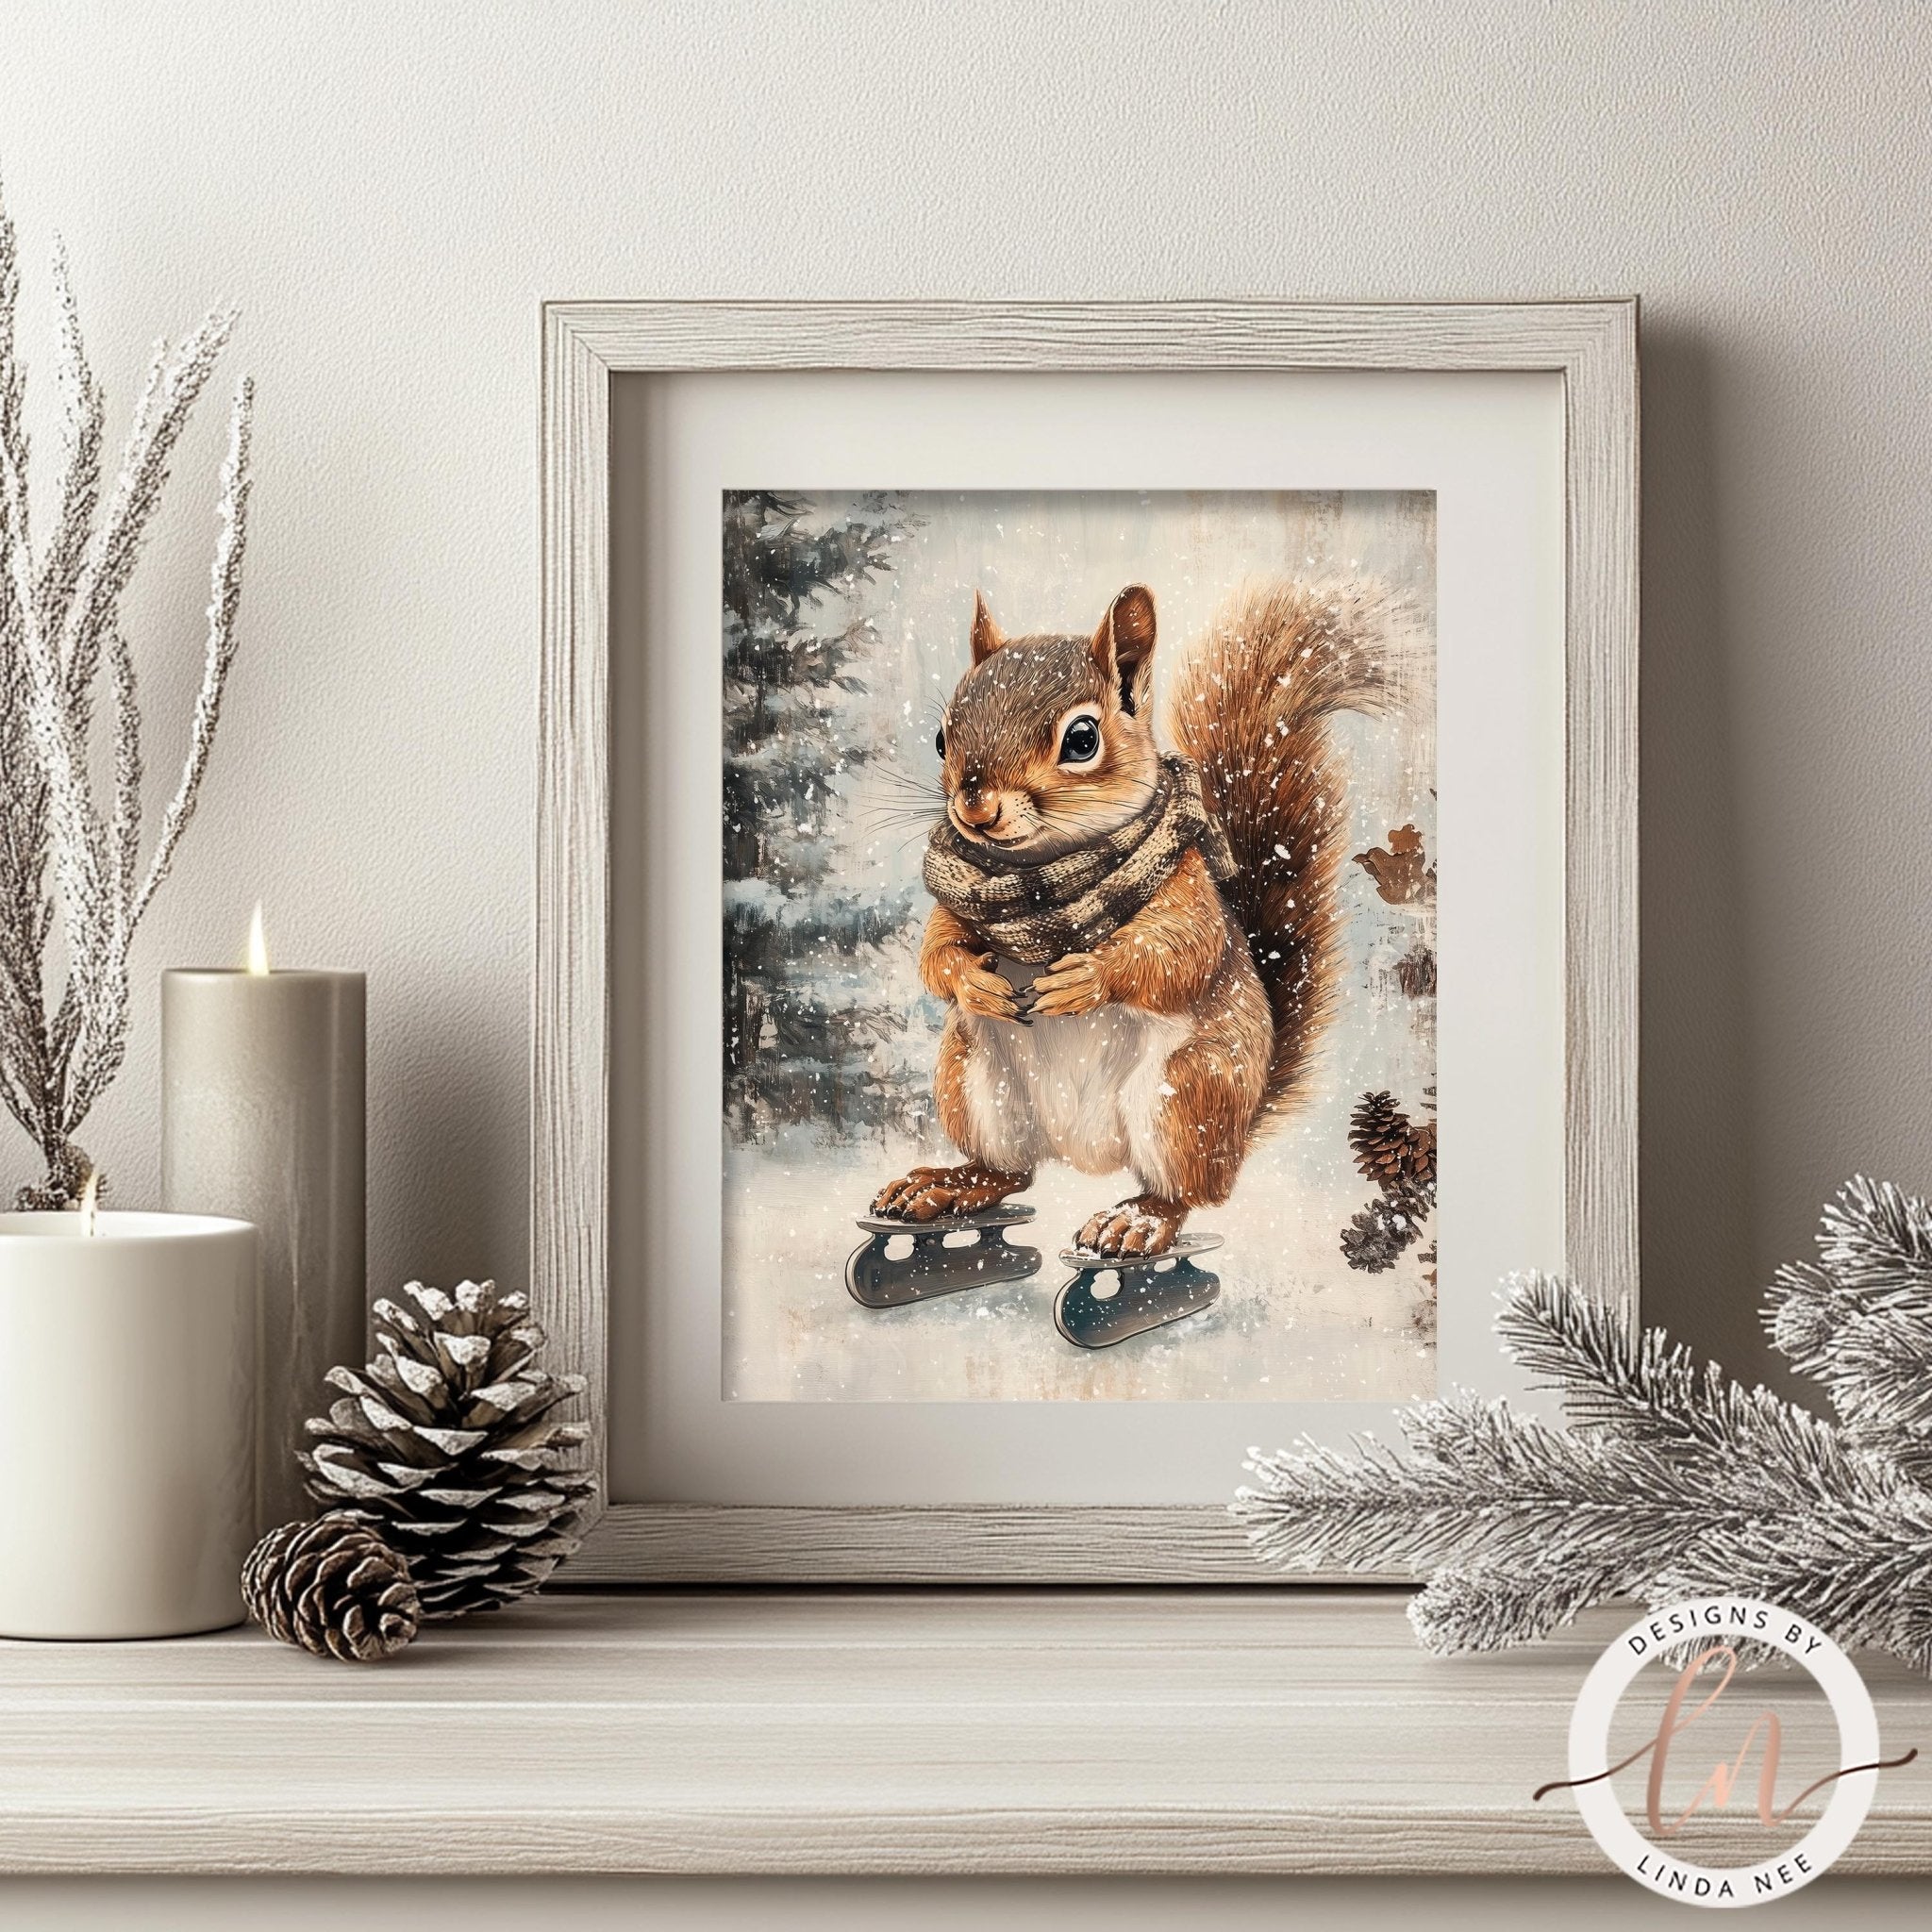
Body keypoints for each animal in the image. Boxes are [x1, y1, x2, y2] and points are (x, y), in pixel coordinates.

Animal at [870, 577, 1405, 1258]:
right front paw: (973, 981)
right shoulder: (954, 907)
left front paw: (1087, 978)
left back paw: (1139, 1219)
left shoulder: (1186, 887)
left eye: (1082, 740)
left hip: (1185, 1097)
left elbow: (1183, 951)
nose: (975, 806)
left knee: (1187, 1193)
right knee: (1010, 1173)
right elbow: (935, 953)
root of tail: (1083, 1154)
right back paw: (946, 1184)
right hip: (971, 1080)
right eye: (942, 738)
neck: (1041, 879)